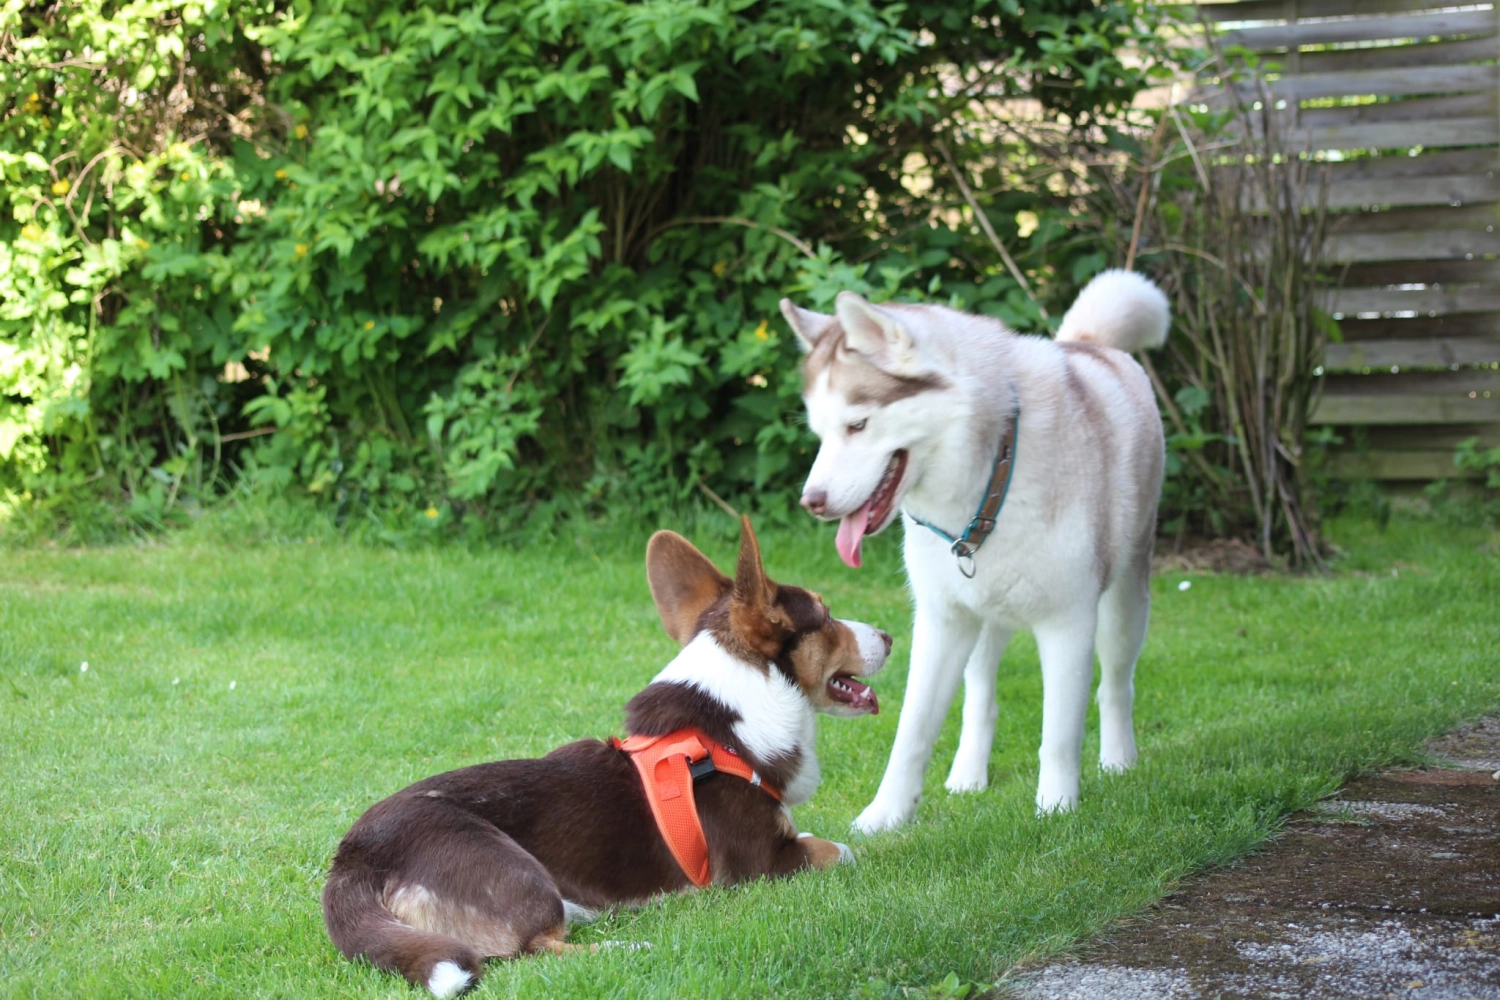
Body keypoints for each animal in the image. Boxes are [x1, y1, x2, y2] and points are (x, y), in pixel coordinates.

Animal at [322, 521, 888, 995]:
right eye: (826, 615)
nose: (888, 635)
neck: (725, 729)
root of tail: (353, 858)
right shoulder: (765, 862)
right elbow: (842, 849)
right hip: (520, 874)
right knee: (532, 952)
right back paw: (628, 946)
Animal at [786, 268, 1170, 827]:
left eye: (857, 425)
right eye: (819, 432)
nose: (811, 501)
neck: (990, 484)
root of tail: (1087, 343)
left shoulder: (1069, 624)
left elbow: (1060, 733)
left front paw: (1056, 809)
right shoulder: (942, 621)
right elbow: (912, 731)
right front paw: (886, 815)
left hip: (1125, 604)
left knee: (1116, 683)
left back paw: (1120, 759)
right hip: (984, 617)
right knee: (981, 697)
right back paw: (968, 776)